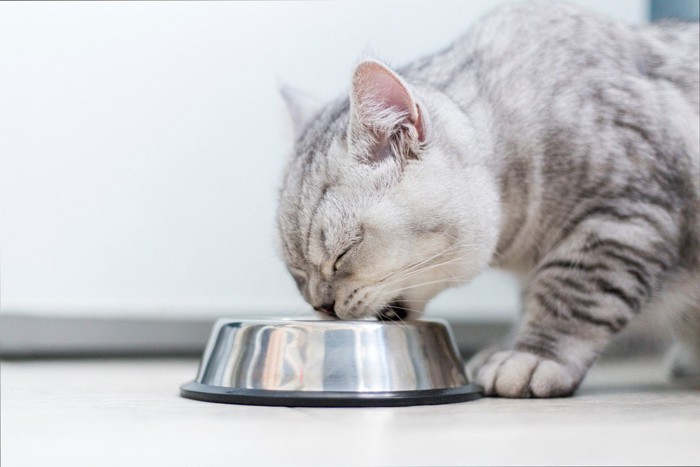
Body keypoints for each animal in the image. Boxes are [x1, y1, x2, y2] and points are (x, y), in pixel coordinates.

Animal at [276, 1, 696, 398]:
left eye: (343, 253)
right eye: (297, 274)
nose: (321, 306)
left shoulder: (621, 217)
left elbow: (568, 294)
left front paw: (531, 355)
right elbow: (532, 298)